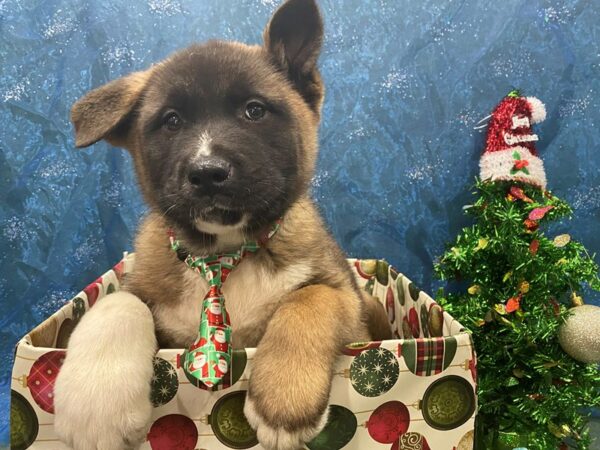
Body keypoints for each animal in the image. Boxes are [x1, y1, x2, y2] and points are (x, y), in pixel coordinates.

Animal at [54, 0, 392, 450]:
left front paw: (285, 396)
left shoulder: (347, 300)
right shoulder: (145, 294)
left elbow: (308, 298)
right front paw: (95, 405)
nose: (207, 173)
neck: (224, 251)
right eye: (172, 120)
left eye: (254, 110)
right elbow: (117, 302)